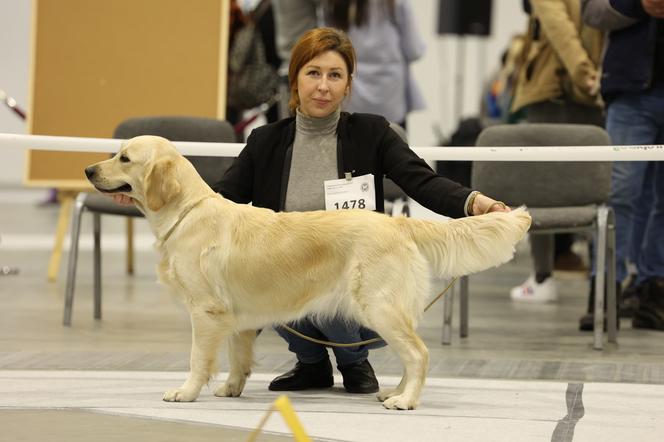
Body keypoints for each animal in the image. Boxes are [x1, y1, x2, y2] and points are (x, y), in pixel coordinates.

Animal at [85, 136, 528, 410]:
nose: (89, 170)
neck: (187, 213)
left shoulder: (205, 311)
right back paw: (395, 393)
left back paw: (405, 401)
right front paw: (231, 388)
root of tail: (399, 224)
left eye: (124, 158)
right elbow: (238, 355)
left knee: (418, 353)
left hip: (378, 306)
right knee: (411, 355)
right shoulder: (234, 316)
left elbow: (198, 359)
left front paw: (186, 392)